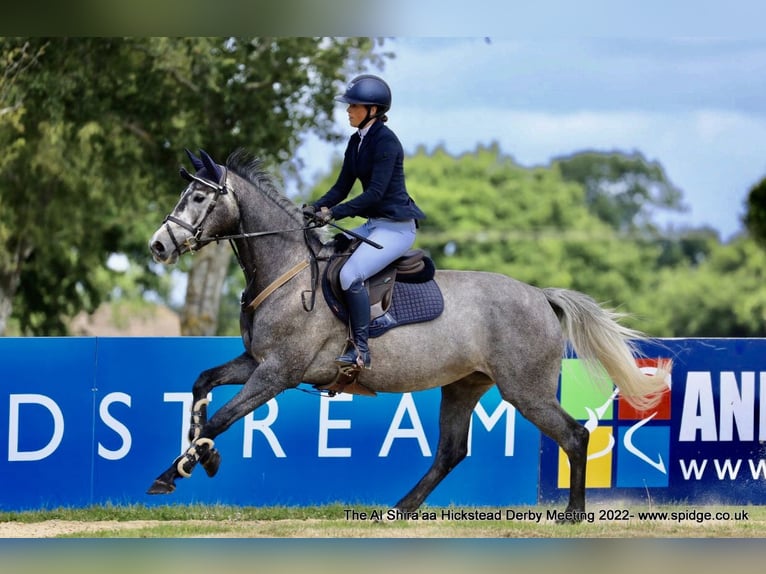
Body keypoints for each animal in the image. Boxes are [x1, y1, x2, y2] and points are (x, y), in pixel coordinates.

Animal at [146, 148, 672, 520]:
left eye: (198, 198)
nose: (158, 246)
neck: (288, 272)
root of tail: (540, 296)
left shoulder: (277, 372)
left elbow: (220, 419)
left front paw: (188, 465)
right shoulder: (256, 362)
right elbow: (202, 386)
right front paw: (189, 464)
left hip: (524, 389)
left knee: (574, 435)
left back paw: (574, 514)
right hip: (463, 386)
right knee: (451, 452)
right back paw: (400, 508)